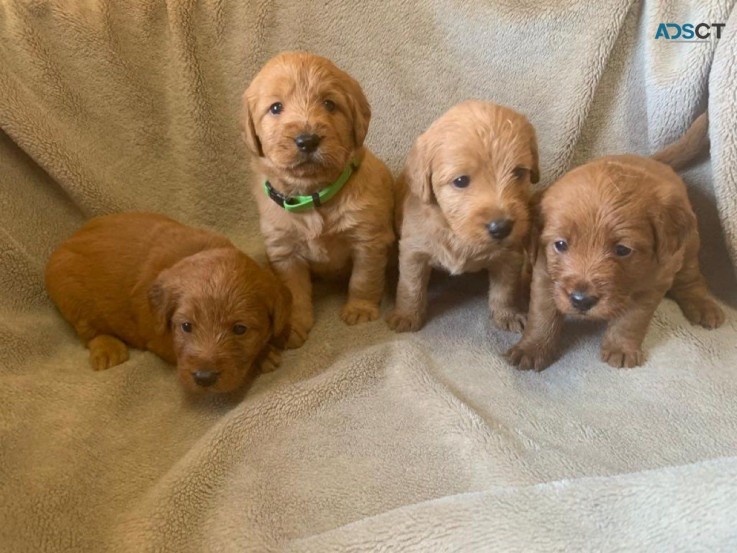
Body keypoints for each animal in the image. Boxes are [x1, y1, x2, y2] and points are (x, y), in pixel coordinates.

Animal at [43, 212, 294, 392]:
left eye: (240, 329)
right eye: (186, 326)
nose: (204, 378)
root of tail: (68, 240)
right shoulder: (158, 339)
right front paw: (262, 356)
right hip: (70, 294)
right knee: (89, 333)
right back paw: (108, 349)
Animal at [242, 50, 394, 344]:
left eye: (329, 104)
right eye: (275, 108)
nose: (307, 140)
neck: (313, 194)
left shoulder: (368, 239)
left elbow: (364, 278)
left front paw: (360, 309)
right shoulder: (284, 251)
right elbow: (292, 291)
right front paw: (293, 326)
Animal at [386, 99, 540, 332]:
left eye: (519, 173)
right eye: (460, 181)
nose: (501, 227)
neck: (456, 232)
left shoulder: (510, 254)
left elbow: (506, 289)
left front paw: (508, 314)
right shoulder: (414, 250)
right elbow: (410, 286)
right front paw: (406, 315)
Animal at [506, 114, 724, 368]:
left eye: (622, 250)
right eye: (560, 245)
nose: (581, 301)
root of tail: (657, 163)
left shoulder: (652, 283)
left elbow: (631, 320)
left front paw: (621, 348)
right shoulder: (545, 273)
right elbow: (542, 314)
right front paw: (532, 348)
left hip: (687, 250)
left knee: (692, 280)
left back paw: (704, 307)